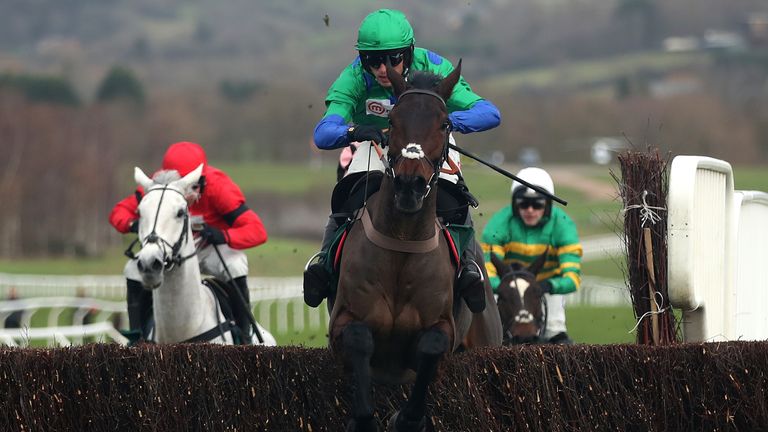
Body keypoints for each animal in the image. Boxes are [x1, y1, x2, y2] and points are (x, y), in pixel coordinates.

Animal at [330, 61, 504, 432]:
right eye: (393, 120)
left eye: (445, 123)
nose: (410, 184)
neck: (403, 241)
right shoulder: (341, 322)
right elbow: (358, 338)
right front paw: (364, 419)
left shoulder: (443, 328)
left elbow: (432, 346)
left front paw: (407, 418)